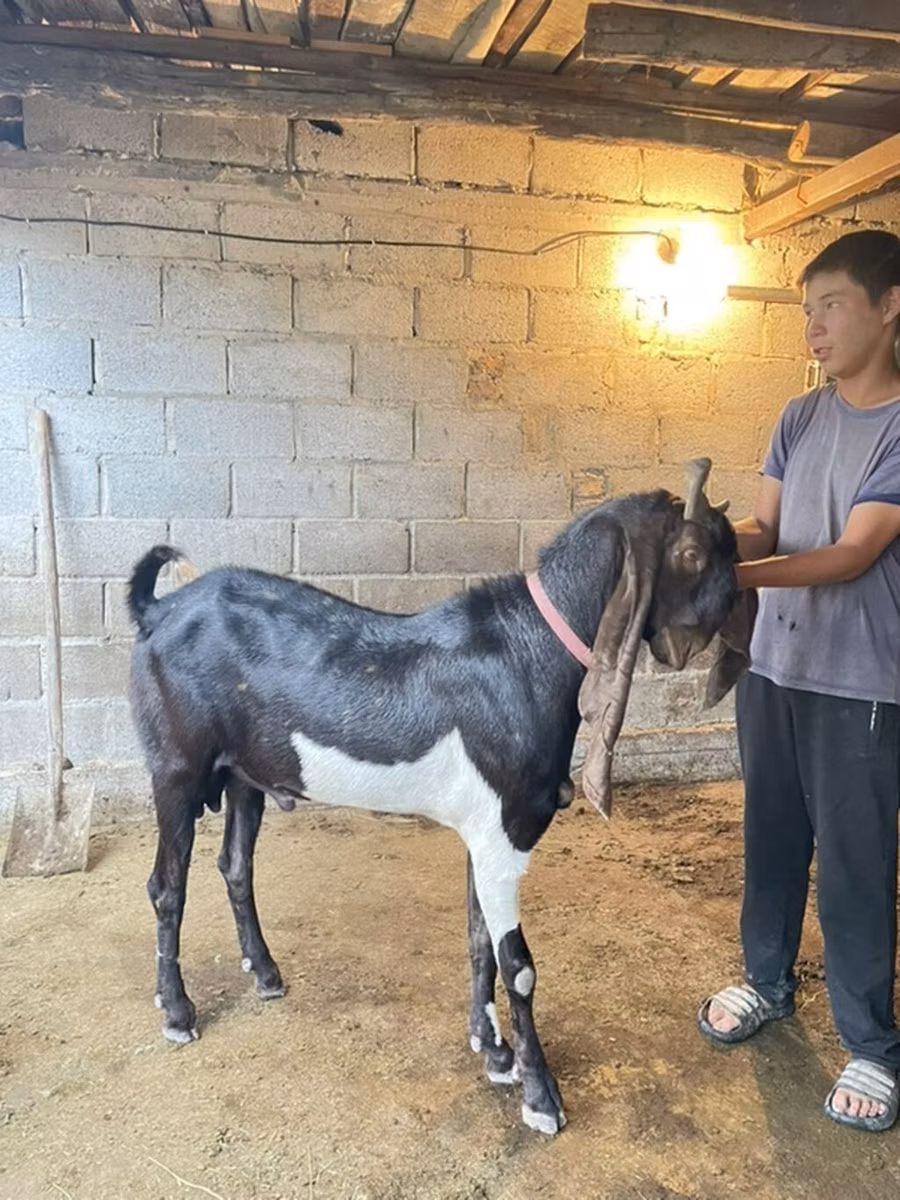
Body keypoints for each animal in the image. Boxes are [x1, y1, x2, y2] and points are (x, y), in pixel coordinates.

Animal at [127, 458, 746, 1135]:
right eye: (693, 553)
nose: (739, 603)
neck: (526, 653)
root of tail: (158, 611)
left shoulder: (482, 831)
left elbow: (479, 940)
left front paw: (493, 1051)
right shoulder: (505, 831)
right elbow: (519, 967)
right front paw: (540, 1096)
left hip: (244, 776)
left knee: (235, 865)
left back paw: (265, 974)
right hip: (175, 767)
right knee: (166, 886)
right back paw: (177, 1013)